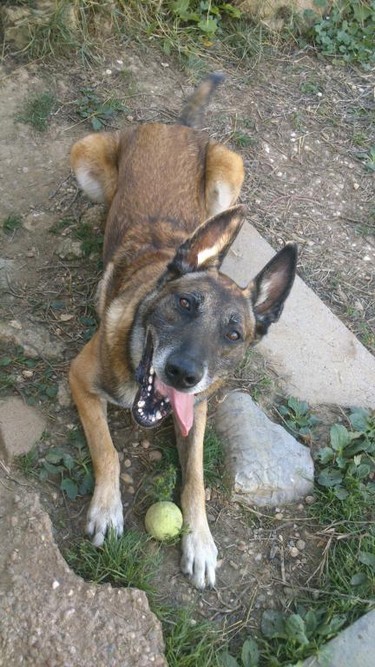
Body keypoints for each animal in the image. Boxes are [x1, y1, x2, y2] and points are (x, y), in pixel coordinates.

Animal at [67, 74, 296, 588]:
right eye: (186, 303)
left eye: (234, 335)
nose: (183, 374)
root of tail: (177, 127)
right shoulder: (79, 379)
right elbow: (108, 450)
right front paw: (107, 508)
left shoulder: (198, 411)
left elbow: (195, 479)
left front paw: (201, 541)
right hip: (83, 155)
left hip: (230, 172)